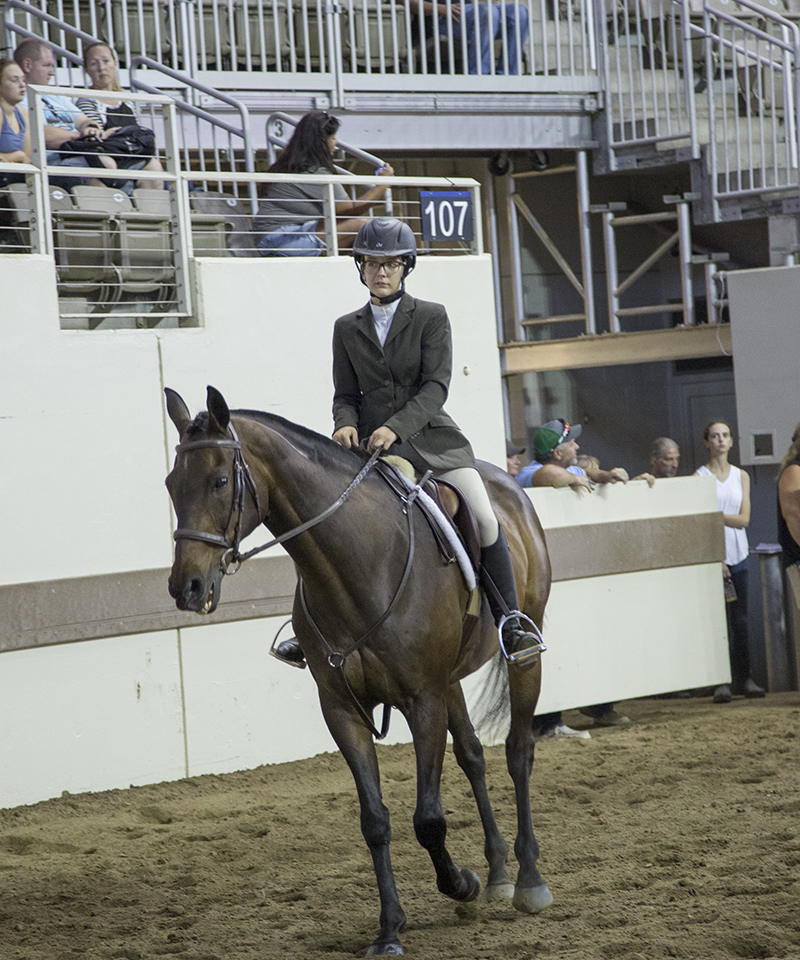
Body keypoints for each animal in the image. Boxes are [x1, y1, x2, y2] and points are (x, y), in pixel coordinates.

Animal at [166, 386, 552, 956]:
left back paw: (528, 881)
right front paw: (390, 929)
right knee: (473, 756)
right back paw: (500, 872)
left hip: (522, 652)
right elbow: (375, 821)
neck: (357, 563)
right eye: (171, 484)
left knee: (518, 753)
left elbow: (428, 819)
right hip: (450, 680)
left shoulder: (422, 700)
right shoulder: (343, 709)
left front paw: (459, 883)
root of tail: (507, 483)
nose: (186, 588)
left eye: (219, 480)